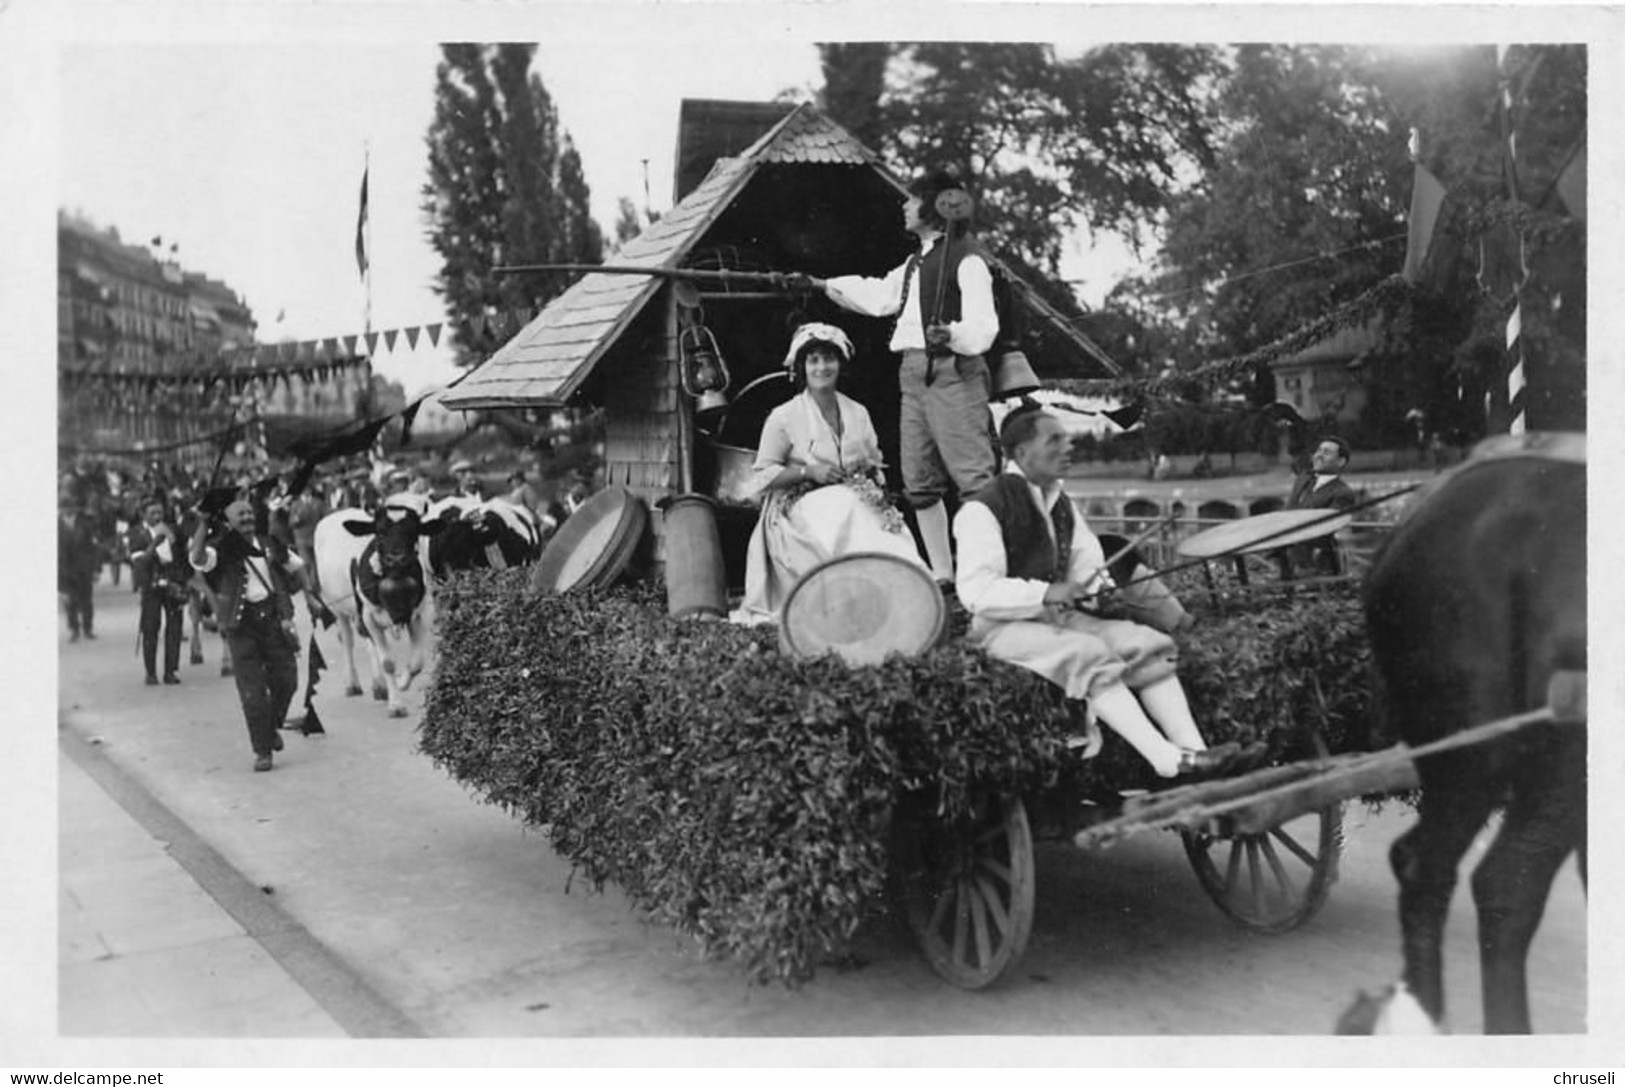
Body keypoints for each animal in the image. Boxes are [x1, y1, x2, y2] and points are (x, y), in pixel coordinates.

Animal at [312, 493, 445, 714]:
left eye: (413, 532)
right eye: (380, 533)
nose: (397, 558)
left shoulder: (422, 612)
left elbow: (417, 663)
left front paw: (400, 682)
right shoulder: (369, 615)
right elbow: (388, 662)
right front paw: (396, 705)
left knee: (368, 642)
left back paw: (380, 686)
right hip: (337, 608)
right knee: (347, 640)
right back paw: (353, 684)